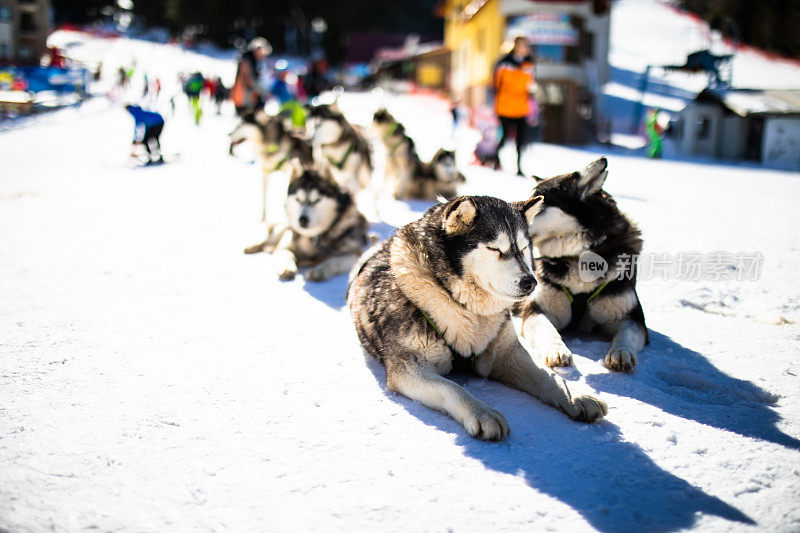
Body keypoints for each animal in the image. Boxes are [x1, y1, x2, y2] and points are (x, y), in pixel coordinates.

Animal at [348, 195, 608, 440]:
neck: (461, 305)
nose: (530, 282)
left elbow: (548, 377)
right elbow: (451, 388)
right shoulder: (408, 368)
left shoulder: (506, 353)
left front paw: (574, 397)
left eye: (524, 248)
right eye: (495, 249)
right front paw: (481, 412)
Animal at [516, 158, 648, 372]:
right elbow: (547, 329)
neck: (577, 256)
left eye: (540, 202)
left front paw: (621, 352)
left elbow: (627, 333)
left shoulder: (631, 317)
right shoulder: (537, 309)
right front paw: (556, 349)